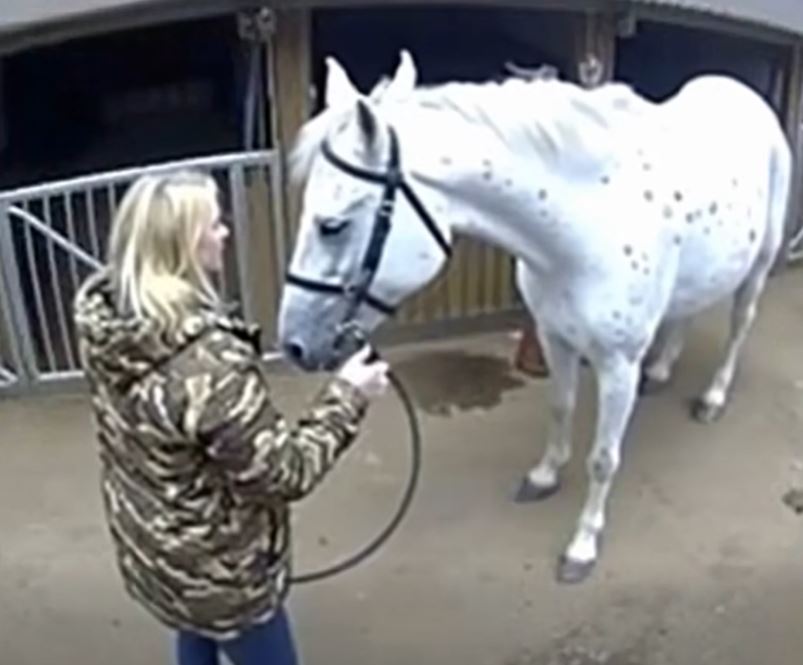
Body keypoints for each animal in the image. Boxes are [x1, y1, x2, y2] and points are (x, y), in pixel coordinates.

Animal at [277, 50, 793, 583]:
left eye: (332, 225)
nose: (293, 344)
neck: (586, 228)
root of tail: (743, 92)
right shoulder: (553, 337)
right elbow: (559, 407)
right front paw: (544, 476)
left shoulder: (617, 366)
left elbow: (603, 460)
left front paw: (582, 546)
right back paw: (663, 371)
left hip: (757, 267)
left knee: (738, 328)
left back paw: (713, 397)